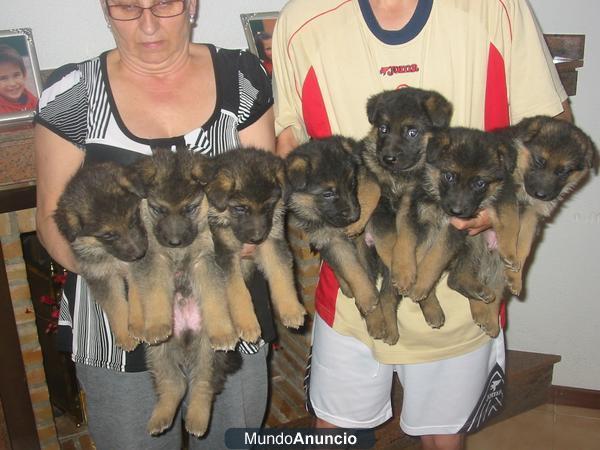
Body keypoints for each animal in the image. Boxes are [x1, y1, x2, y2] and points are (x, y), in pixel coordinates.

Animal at [54, 162, 148, 352]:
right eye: (108, 235)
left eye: (133, 219)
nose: (139, 254)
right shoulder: (102, 277)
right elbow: (116, 306)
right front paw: (125, 336)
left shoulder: (137, 268)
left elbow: (137, 295)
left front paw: (139, 326)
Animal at [206, 146, 308, 342]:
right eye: (240, 208)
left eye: (268, 207)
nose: (257, 239)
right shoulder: (226, 254)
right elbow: (238, 291)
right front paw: (247, 324)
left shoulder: (273, 242)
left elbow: (281, 274)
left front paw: (291, 309)